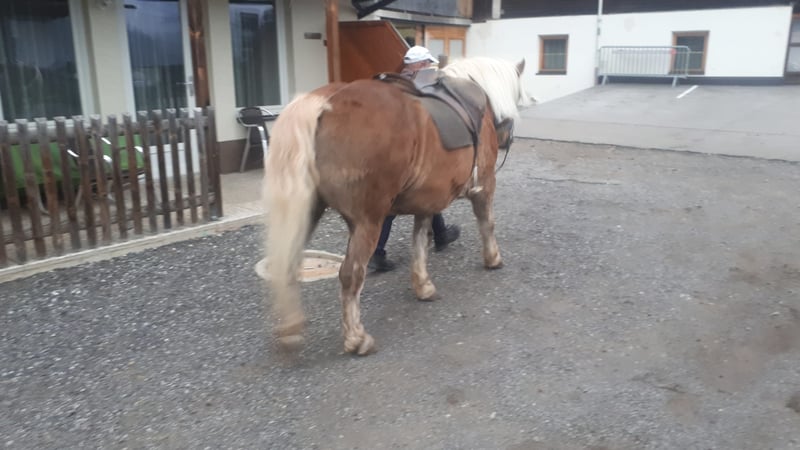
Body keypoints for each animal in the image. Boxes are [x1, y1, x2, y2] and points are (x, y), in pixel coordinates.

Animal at [262, 56, 532, 355]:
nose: (507, 137)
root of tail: (324, 101)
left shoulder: (427, 200)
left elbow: (420, 241)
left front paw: (423, 285)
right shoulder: (484, 184)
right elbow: (487, 222)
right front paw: (493, 258)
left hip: (309, 212)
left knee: (288, 263)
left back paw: (291, 329)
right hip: (367, 221)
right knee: (350, 274)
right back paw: (357, 338)